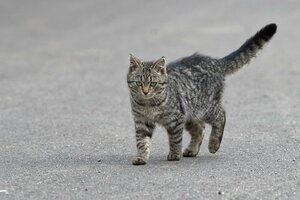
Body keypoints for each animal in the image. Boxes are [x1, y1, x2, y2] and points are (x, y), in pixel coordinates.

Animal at [126, 23, 276, 165]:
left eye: (153, 83)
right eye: (139, 83)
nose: (145, 91)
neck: (148, 104)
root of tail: (215, 61)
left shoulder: (175, 119)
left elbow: (175, 139)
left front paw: (175, 154)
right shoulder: (142, 121)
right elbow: (141, 142)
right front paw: (141, 157)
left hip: (206, 108)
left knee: (221, 115)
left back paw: (214, 144)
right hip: (191, 114)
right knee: (200, 129)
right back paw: (192, 150)